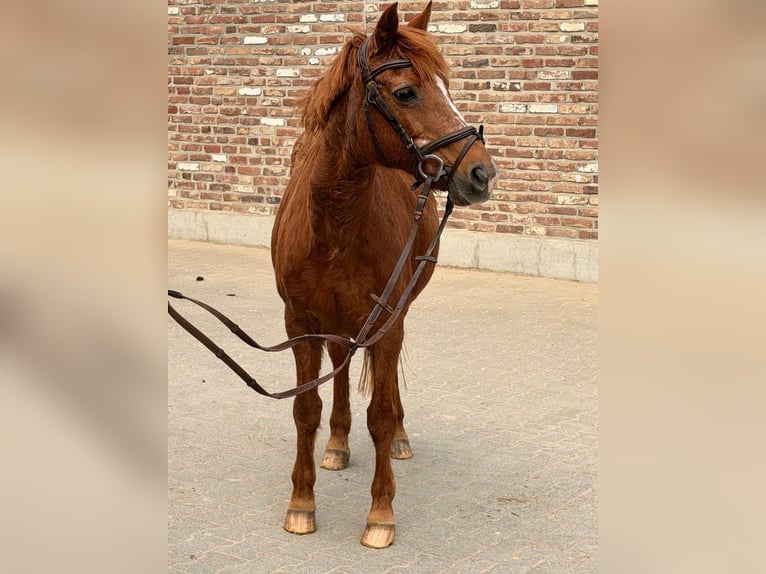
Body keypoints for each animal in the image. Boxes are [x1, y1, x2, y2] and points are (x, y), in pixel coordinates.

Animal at [270, 1, 497, 548]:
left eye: (446, 88)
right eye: (406, 92)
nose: (481, 173)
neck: (334, 223)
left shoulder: (387, 320)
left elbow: (381, 411)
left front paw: (380, 513)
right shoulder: (300, 325)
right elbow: (304, 411)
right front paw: (301, 504)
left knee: (388, 387)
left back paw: (399, 439)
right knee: (341, 364)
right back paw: (337, 443)